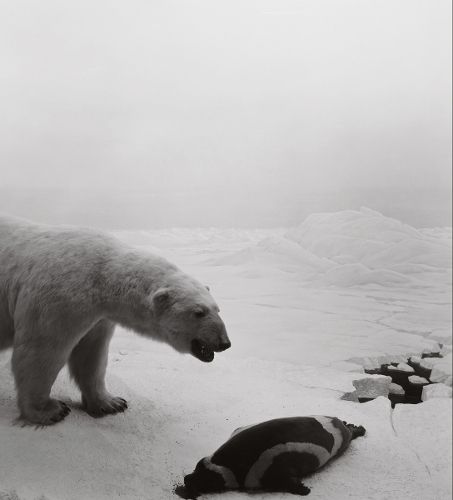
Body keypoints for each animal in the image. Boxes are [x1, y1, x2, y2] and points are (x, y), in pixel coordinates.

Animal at [0, 215, 231, 426]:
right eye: (198, 312)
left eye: (217, 309)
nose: (224, 343)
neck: (100, 274)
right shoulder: (58, 297)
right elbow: (41, 350)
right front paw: (50, 410)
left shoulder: (97, 315)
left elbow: (91, 355)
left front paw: (111, 403)